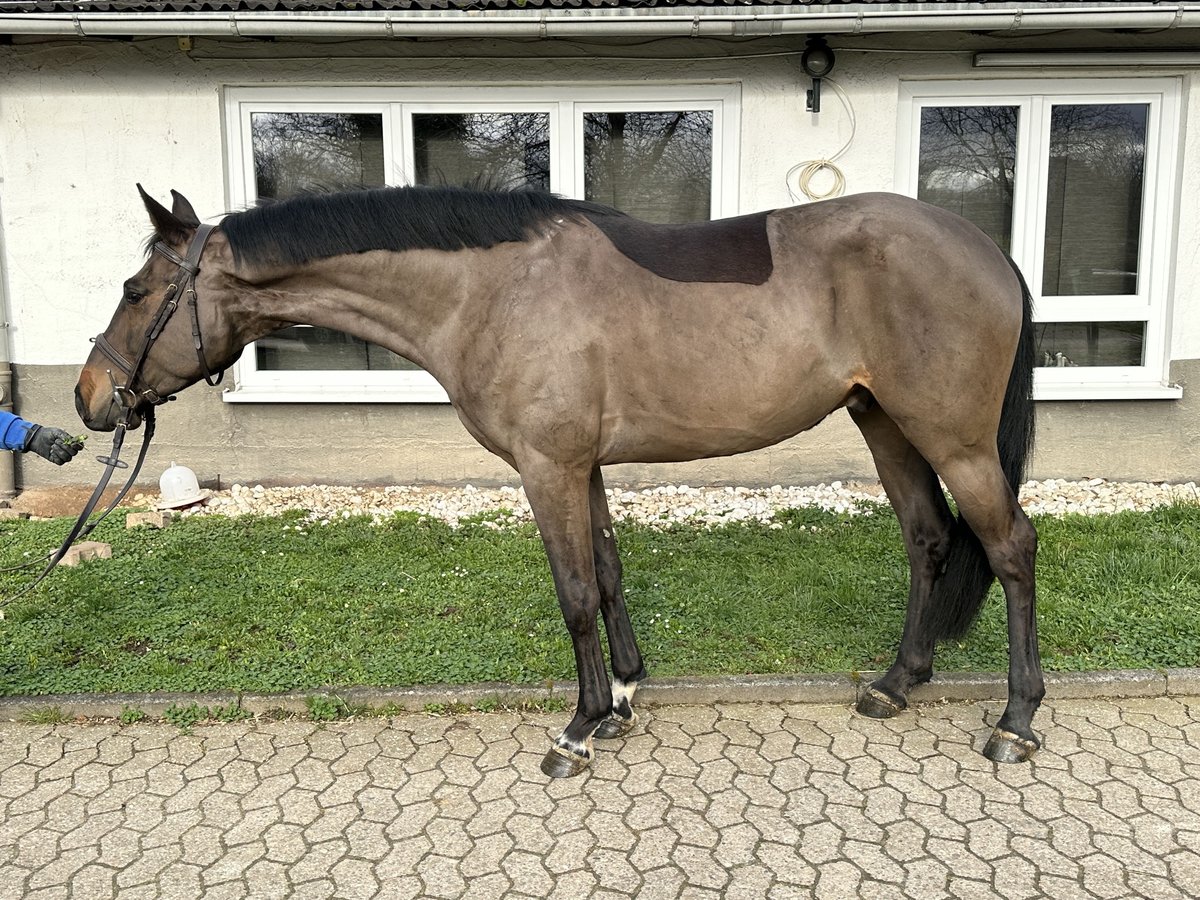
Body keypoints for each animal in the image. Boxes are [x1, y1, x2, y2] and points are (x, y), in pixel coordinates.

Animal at [75, 183, 1041, 777]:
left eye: (135, 290)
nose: (90, 398)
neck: (490, 290)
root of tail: (989, 251)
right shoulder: (587, 468)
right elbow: (607, 576)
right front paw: (620, 700)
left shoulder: (548, 470)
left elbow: (573, 592)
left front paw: (576, 732)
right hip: (885, 425)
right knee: (928, 539)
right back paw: (897, 683)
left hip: (953, 439)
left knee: (1011, 546)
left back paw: (1015, 721)